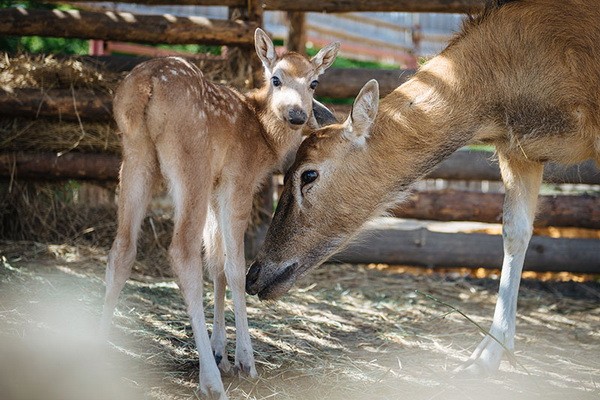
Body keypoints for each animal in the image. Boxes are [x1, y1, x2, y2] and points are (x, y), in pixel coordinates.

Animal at [101, 28, 340, 400]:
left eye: (314, 83)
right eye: (276, 78)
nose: (298, 115)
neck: (264, 138)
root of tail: (147, 84)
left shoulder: (217, 189)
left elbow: (216, 264)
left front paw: (220, 353)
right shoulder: (237, 181)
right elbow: (235, 268)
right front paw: (243, 361)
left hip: (135, 153)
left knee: (122, 249)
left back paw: (96, 350)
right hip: (191, 161)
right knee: (182, 252)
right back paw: (211, 382)